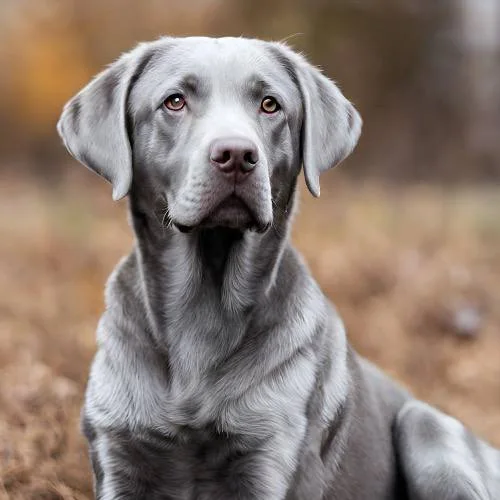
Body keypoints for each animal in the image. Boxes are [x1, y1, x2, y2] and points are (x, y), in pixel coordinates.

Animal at [56, 36, 498, 500]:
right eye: (174, 101)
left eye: (270, 105)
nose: (236, 154)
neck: (203, 315)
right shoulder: (118, 452)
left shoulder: (273, 457)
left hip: (426, 426)